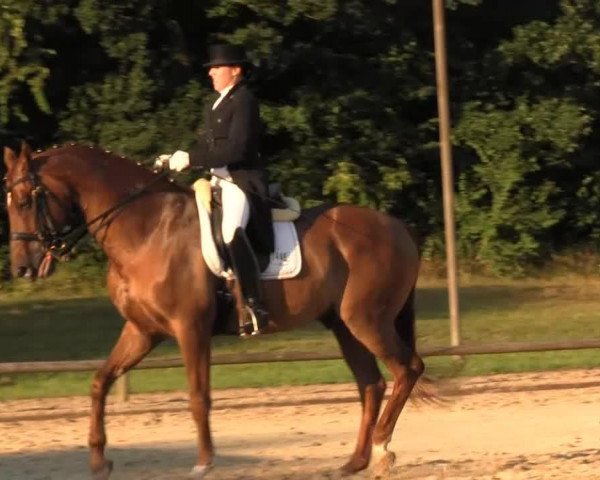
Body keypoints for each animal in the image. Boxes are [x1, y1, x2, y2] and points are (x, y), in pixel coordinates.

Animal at [2, 143, 424, 480]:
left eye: (24, 201)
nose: (22, 269)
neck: (146, 230)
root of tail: (397, 226)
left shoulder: (190, 328)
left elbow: (198, 395)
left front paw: (204, 462)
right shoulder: (142, 331)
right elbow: (99, 381)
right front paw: (98, 461)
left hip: (367, 320)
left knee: (407, 369)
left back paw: (383, 450)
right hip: (343, 325)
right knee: (371, 384)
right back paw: (355, 462)